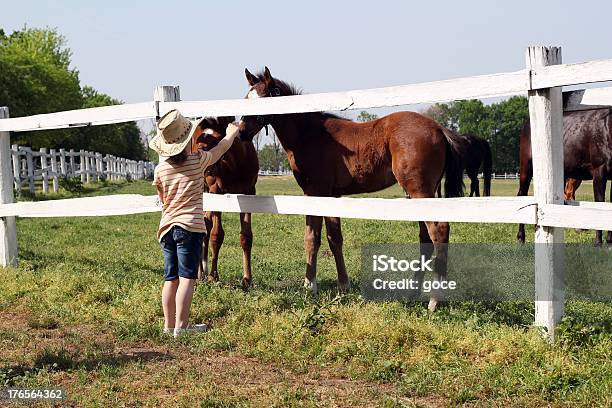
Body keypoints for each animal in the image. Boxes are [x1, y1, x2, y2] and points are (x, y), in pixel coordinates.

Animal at [191, 115, 258, 286]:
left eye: (216, 141)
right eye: (198, 142)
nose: (201, 167)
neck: (237, 164)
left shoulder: (249, 193)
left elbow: (246, 236)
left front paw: (247, 278)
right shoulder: (216, 191)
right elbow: (217, 234)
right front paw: (214, 276)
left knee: (205, 224)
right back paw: (201, 273)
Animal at [238, 67, 464, 310]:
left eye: (263, 99)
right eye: (246, 98)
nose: (241, 132)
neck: (310, 135)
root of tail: (439, 128)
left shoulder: (315, 192)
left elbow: (312, 238)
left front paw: (310, 286)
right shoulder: (332, 194)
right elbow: (334, 238)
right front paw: (343, 285)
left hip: (419, 191)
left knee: (439, 231)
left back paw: (434, 300)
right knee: (425, 238)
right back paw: (413, 293)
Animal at [516, 107, 612, 245]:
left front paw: (609, 239)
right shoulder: (599, 171)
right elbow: (600, 202)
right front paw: (598, 241)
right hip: (526, 167)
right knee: (521, 194)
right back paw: (521, 236)